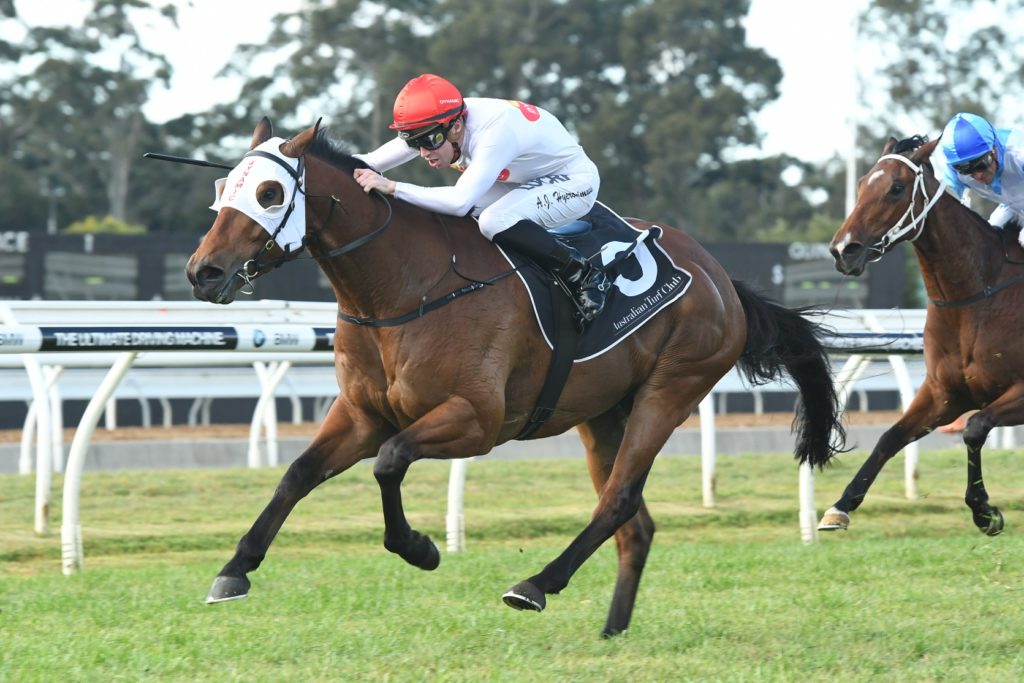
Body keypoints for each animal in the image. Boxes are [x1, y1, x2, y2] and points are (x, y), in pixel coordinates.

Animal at [185, 117, 845, 638]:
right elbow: (298, 474)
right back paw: (611, 629)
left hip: (670, 391)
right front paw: (234, 570)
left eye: (270, 192)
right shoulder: (361, 414)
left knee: (618, 501)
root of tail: (720, 278)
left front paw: (420, 548)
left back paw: (536, 584)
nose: (202, 272)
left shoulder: (476, 420)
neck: (408, 286)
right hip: (603, 412)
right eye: (223, 187)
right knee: (634, 519)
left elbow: (390, 461)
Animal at [824, 134, 1024, 536]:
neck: (979, 297)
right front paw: (840, 506)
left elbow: (975, 428)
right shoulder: (943, 395)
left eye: (896, 188)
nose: (842, 250)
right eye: (861, 184)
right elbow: (890, 437)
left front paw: (984, 511)